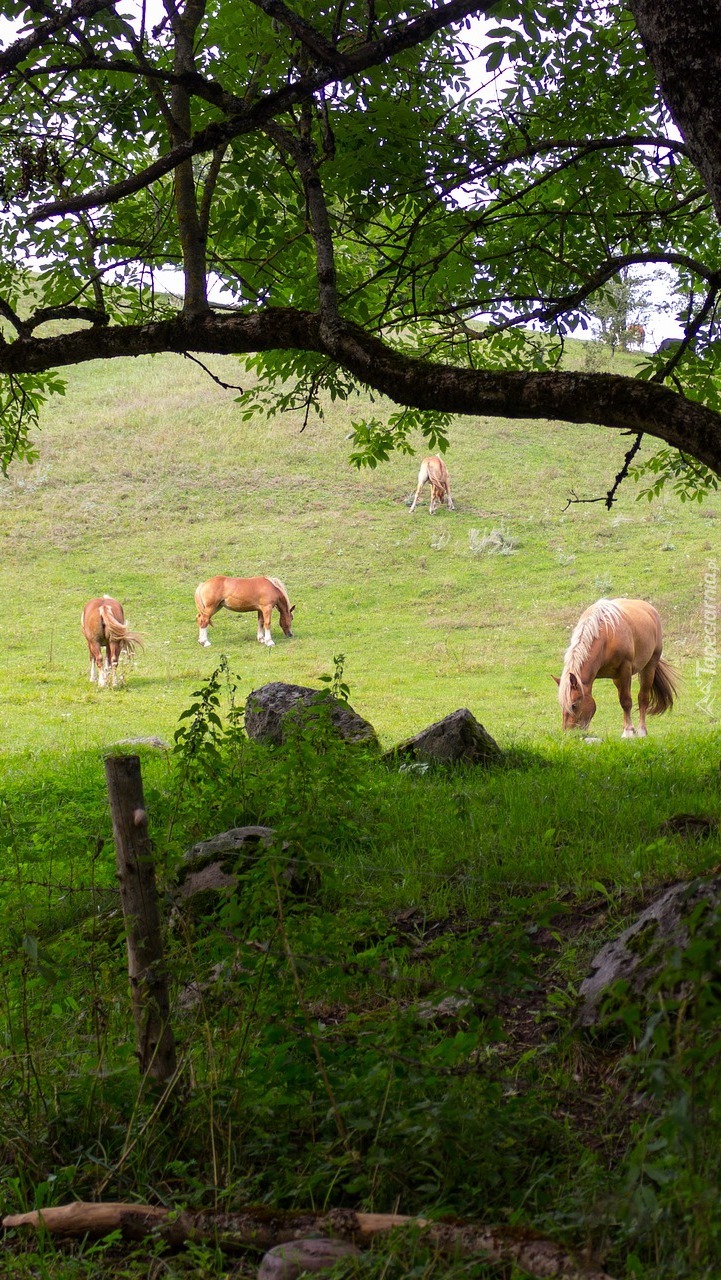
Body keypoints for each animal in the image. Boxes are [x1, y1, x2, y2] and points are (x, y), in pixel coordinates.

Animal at [555, 599, 681, 742]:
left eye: (573, 705)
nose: (569, 735)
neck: (606, 636)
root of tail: (650, 609)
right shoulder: (616, 676)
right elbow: (622, 701)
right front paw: (627, 728)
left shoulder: (625, 669)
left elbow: (626, 701)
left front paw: (628, 732)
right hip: (617, 678)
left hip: (649, 666)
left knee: (643, 698)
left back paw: (641, 731)